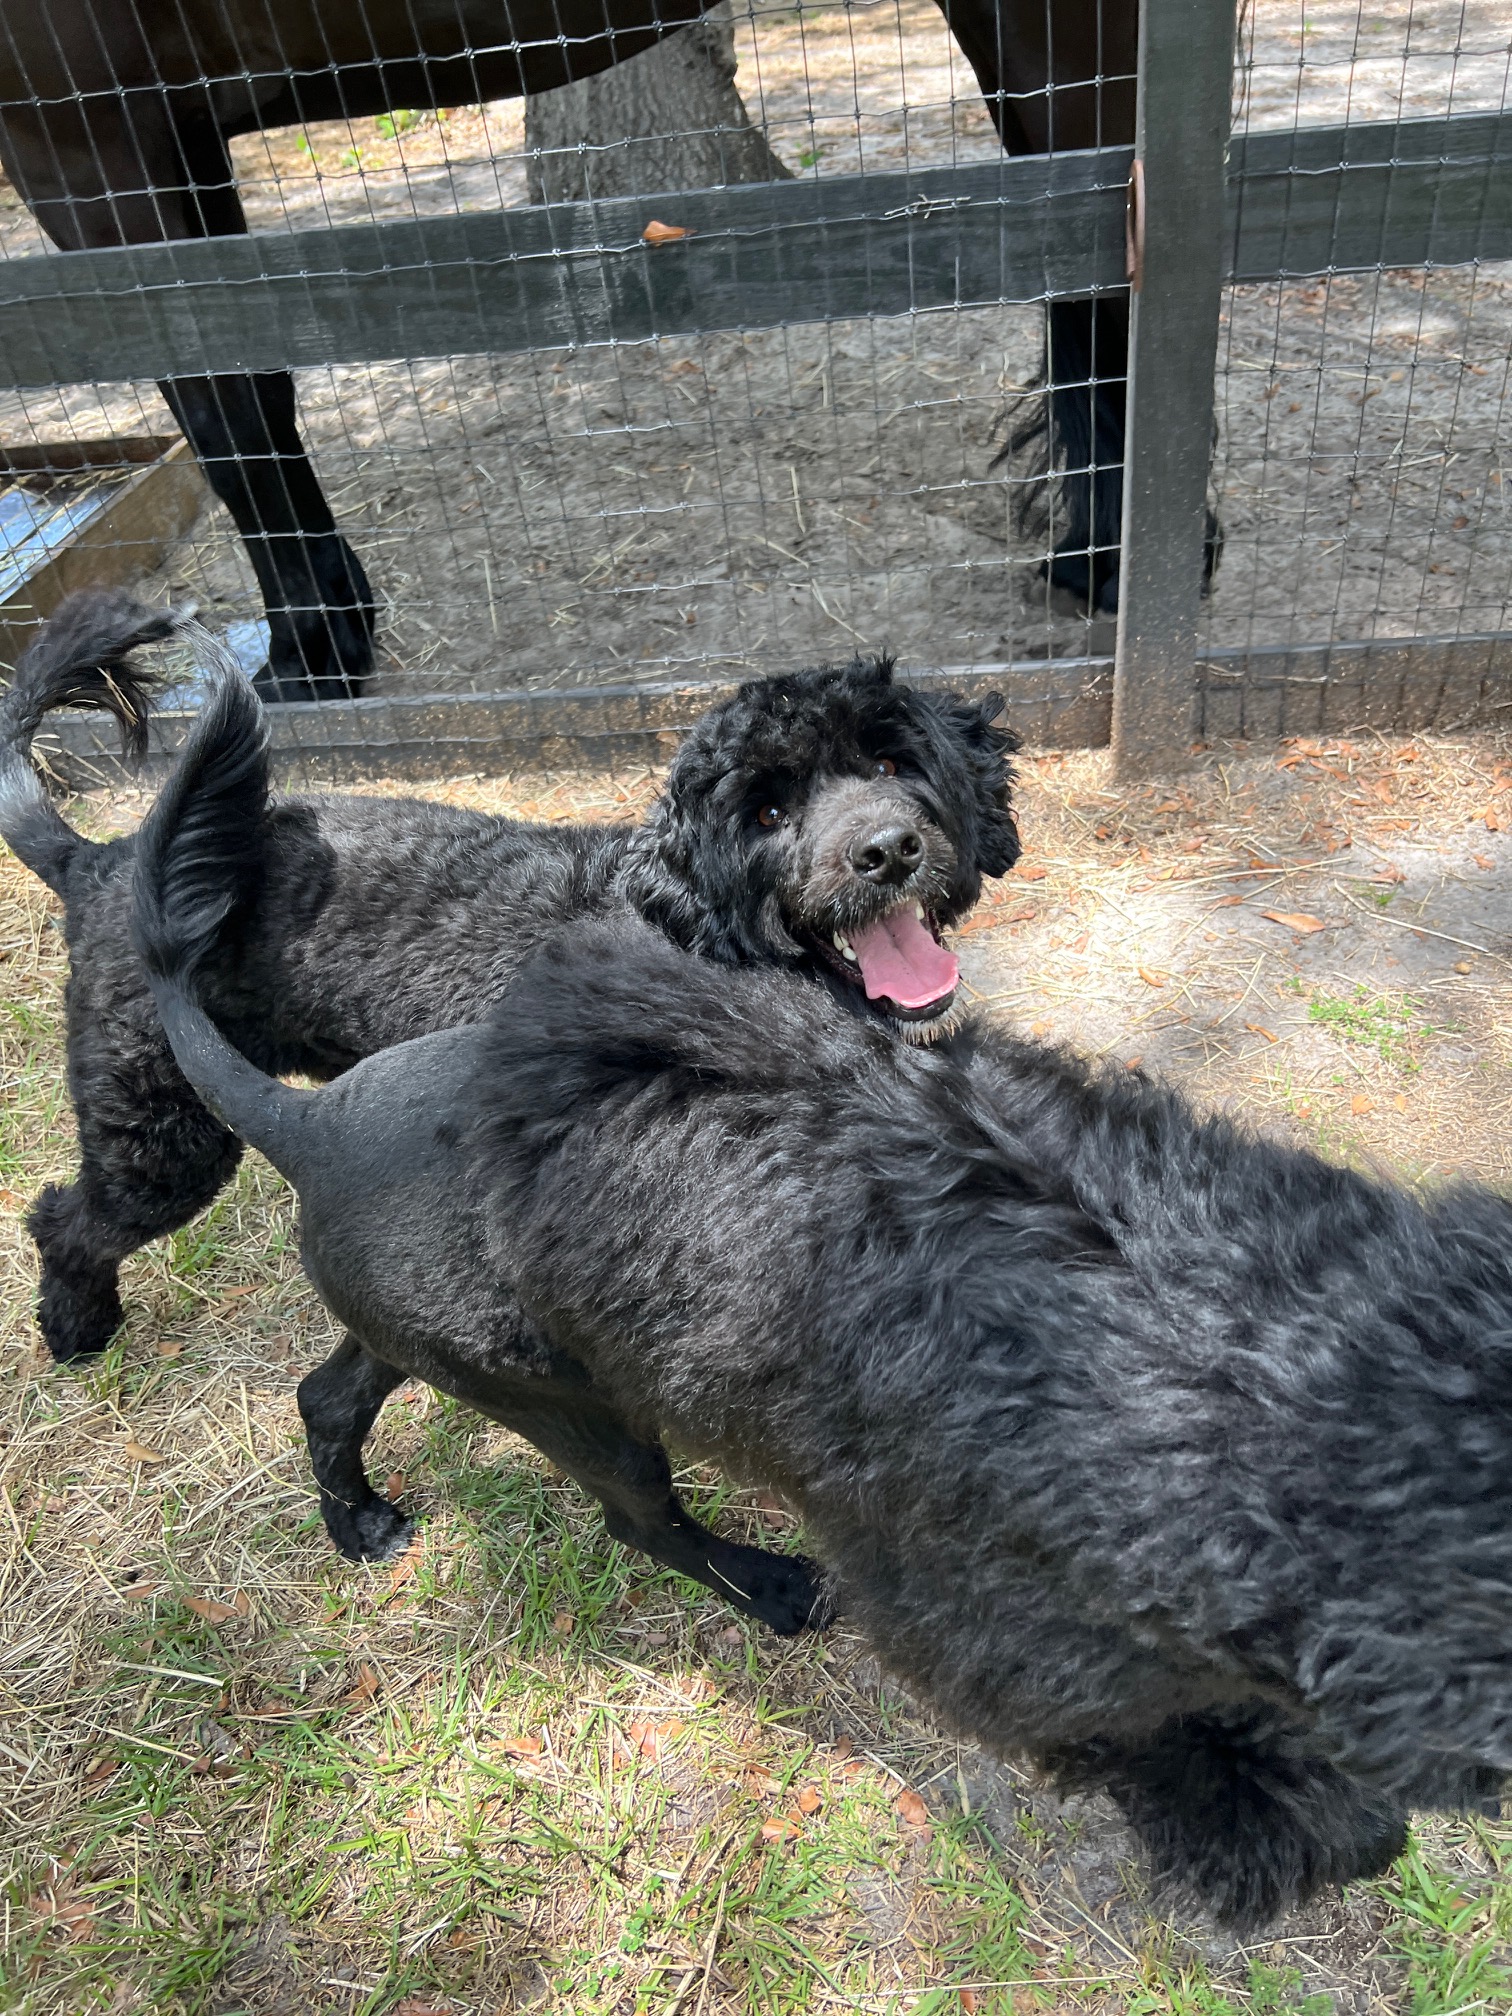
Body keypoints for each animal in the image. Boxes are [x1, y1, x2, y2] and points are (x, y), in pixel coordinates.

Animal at [0, 5, 1137, 701]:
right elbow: (253, 380)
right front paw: (338, 628)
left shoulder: (91, 146)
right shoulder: (174, 137)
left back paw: (1106, 562)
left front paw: (309, 661)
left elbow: (222, 411)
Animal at [2, 588, 1020, 1362]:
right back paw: (76, 1328)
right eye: (767, 812)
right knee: (64, 1218)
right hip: (160, 1131)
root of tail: (101, 862)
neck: (687, 928)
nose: (886, 849)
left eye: (888, 759)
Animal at [133, 661, 1512, 1919]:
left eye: (896, 760)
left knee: (328, 1394)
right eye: (768, 807)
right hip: (586, 1414)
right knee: (642, 1523)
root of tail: (305, 1122)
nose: (887, 849)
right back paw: (771, 1583)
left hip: (466, 1345)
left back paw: (358, 1519)